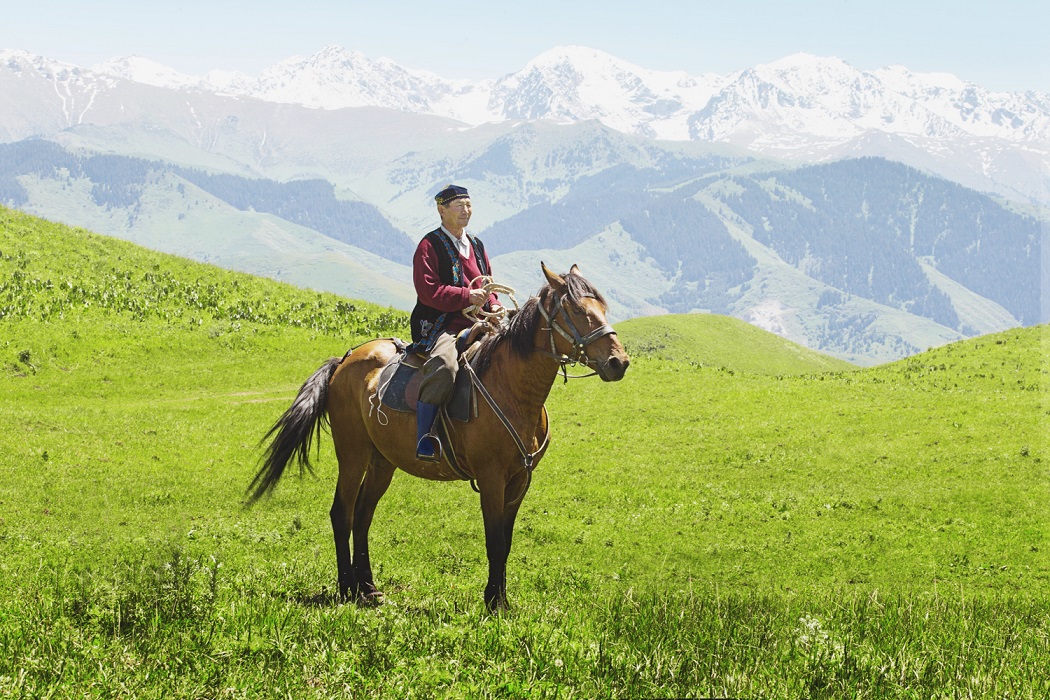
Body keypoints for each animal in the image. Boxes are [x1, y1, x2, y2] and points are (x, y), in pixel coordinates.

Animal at [248, 261, 625, 608]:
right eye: (578, 311)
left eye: (604, 309)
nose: (619, 362)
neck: (513, 387)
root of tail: (346, 360)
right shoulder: (491, 477)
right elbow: (494, 541)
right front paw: (493, 603)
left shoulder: (520, 479)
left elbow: (506, 540)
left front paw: (502, 600)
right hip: (352, 453)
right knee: (343, 513)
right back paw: (346, 588)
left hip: (382, 460)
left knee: (363, 514)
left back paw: (368, 588)